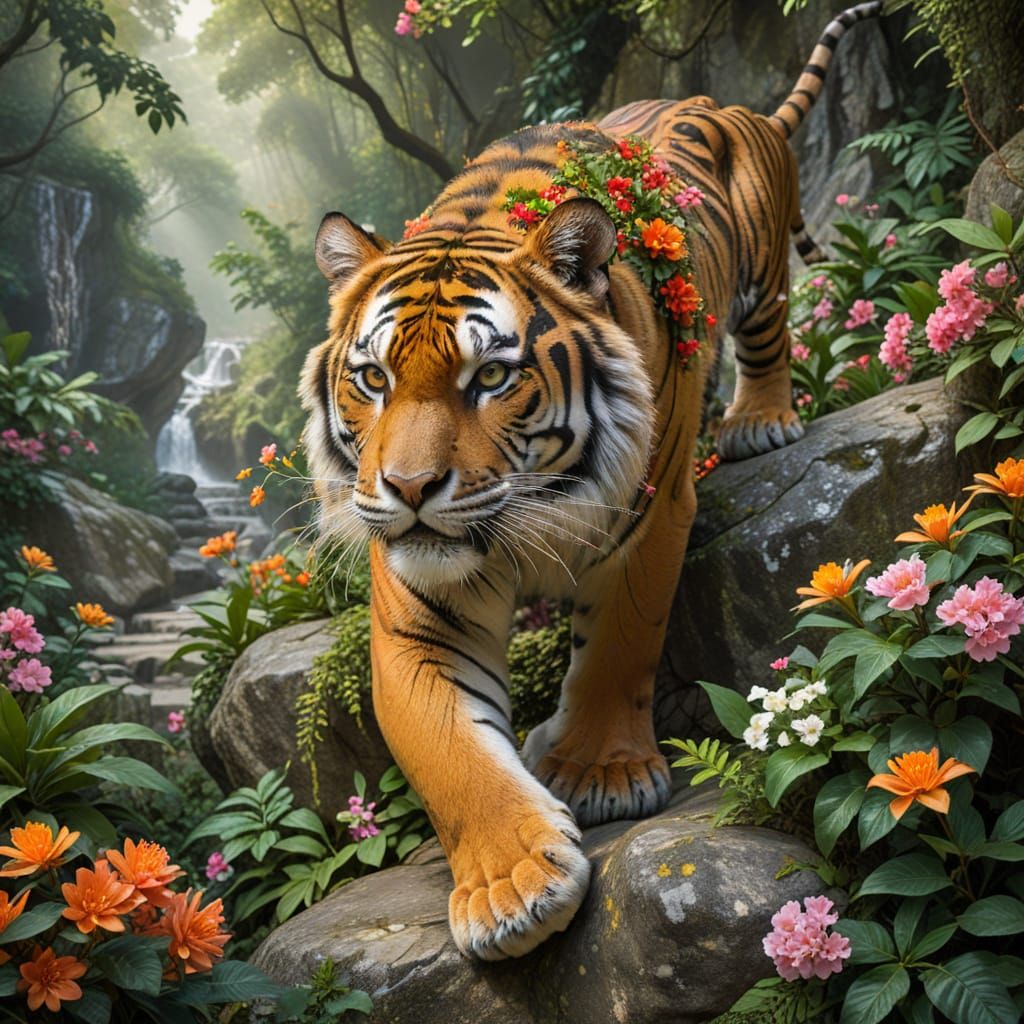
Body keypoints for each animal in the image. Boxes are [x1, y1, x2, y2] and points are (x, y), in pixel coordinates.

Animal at [300, 1, 883, 961]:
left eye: (489, 378)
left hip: (762, 272)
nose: (411, 488)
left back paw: (759, 419)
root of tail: (715, 99)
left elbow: (618, 647)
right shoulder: (417, 603)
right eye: (374, 379)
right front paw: (512, 889)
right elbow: (444, 746)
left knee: (769, 332)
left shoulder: (648, 518)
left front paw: (601, 772)